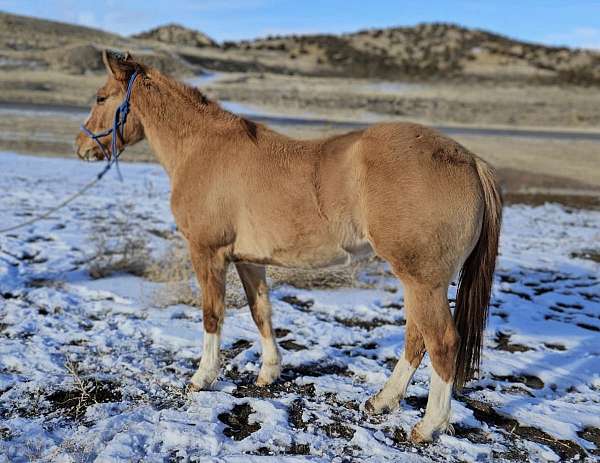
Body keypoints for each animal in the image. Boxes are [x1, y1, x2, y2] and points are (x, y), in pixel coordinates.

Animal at [77, 49, 504, 444]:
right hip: (422, 282)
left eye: (100, 97)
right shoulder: (249, 261)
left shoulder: (207, 253)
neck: (202, 149)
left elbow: (212, 315)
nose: (82, 147)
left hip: (422, 280)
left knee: (442, 342)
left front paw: (202, 377)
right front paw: (269, 373)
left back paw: (428, 426)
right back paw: (381, 402)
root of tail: (470, 161)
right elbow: (261, 312)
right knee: (417, 338)